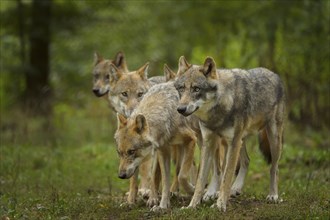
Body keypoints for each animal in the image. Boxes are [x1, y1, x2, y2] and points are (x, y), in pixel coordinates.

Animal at [114, 81, 196, 211]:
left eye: (131, 151)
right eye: (119, 152)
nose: (121, 175)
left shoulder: (191, 139)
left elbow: (182, 176)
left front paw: (191, 189)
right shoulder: (162, 150)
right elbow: (164, 180)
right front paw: (162, 205)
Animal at [174, 55, 284, 211]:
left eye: (196, 89)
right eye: (181, 88)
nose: (181, 109)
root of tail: (274, 74)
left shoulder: (232, 143)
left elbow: (226, 176)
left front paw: (220, 204)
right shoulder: (209, 143)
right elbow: (201, 180)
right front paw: (192, 205)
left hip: (272, 140)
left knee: (274, 168)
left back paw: (273, 195)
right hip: (240, 140)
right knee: (246, 161)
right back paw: (235, 189)